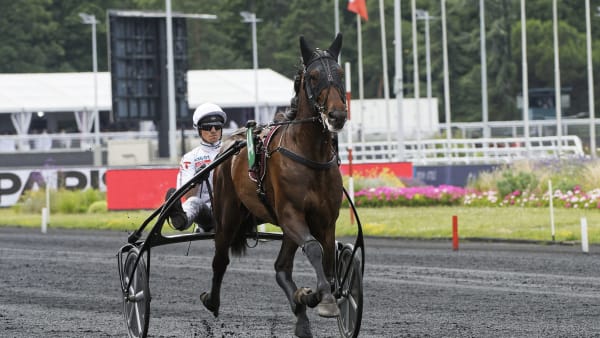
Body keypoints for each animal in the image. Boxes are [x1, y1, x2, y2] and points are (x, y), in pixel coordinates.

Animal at [200, 33, 346, 336]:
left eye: (340, 73)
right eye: (313, 76)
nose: (337, 115)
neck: (309, 155)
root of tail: (230, 143)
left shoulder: (326, 220)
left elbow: (327, 264)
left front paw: (311, 295)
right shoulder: (291, 214)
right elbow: (313, 249)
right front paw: (322, 300)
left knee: (281, 268)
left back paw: (301, 315)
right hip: (228, 214)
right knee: (220, 259)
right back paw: (212, 300)